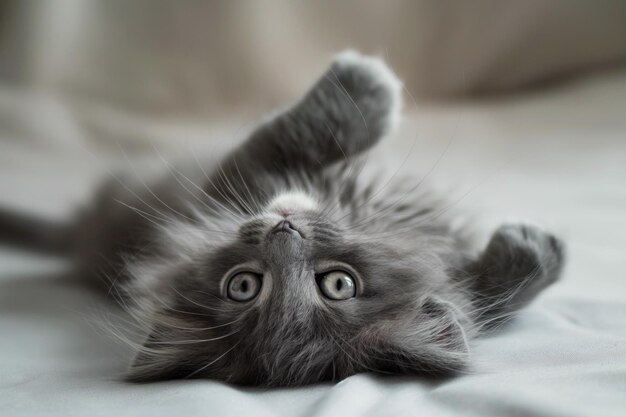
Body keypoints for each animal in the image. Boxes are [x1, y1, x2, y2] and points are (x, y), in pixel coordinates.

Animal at [0, 52, 564, 386]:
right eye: (244, 286)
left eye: (338, 284)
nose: (282, 230)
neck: (362, 212)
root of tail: (76, 237)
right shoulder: (237, 182)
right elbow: (288, 136)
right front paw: (364, 85)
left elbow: (485, 297)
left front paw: (534, 255)